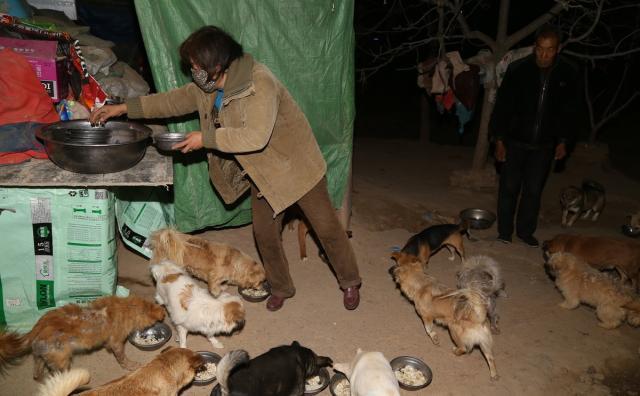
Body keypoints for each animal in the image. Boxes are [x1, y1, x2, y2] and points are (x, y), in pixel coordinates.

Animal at [0, 296, 166, 380]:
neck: (128, 307)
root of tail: (38, 326)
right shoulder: (116, 343)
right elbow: (123, 358)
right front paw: (131, 366)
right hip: (61, 360)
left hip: (42, 354)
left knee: (37, 370)